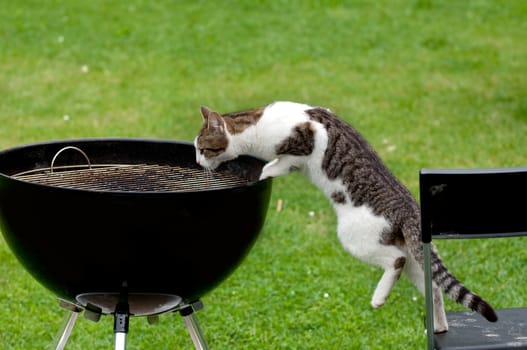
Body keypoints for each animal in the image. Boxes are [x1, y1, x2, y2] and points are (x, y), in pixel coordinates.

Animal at [192, 100, 498, 332]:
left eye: (203, 149)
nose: (197, 161)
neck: (256, 124)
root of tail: (410, 209)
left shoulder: (305, 140)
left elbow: (275, 165)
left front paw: (265, 172)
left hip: (355, 238)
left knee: (395, 261)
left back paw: (378, 299)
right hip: (416, 258)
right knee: (434, 289)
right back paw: (439, 327)